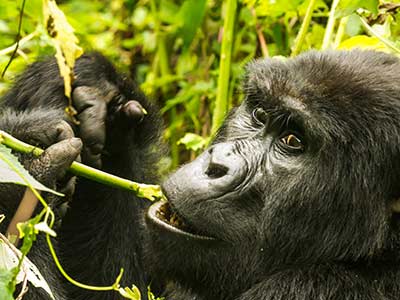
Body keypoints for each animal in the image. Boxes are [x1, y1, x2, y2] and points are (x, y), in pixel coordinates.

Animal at [0, 50, 400, 298]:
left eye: (293, 141)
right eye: (259, 114)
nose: (215, 164)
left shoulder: (308, 288)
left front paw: (19, 185)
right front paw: (93, 88)